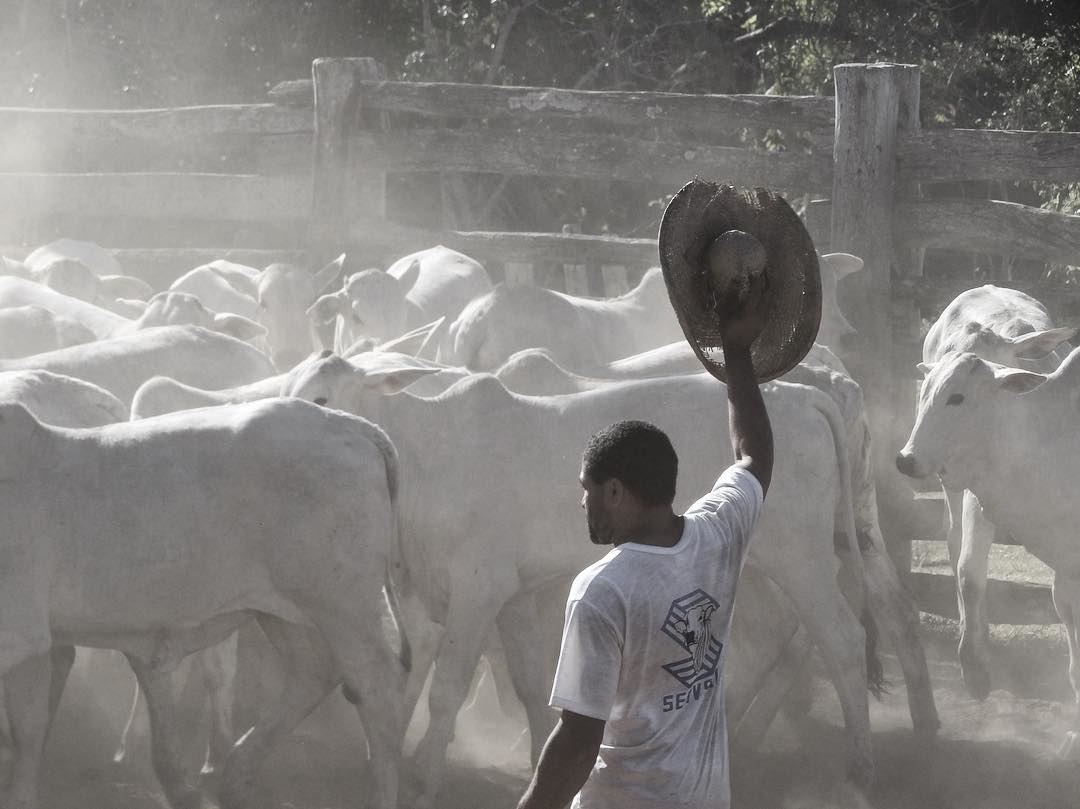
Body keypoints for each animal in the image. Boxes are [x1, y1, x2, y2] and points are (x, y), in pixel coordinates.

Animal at [0, 399, 408, 807]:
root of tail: (349, 424)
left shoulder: (22, 636)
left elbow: (27, 730)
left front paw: (20, 796)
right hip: (284, 610)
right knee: (312, 672)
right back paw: (232, 778)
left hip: (343, 608)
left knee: (376, 687)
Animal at [285, 352, 876, 803]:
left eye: (322, 398)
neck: (427, 455)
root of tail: (802, 396)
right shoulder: (498, 597)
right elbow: (524, 683)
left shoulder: (479, 589)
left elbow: (446, 689)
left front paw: (423, 778)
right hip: (754, 563)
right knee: (776, 639)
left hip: (802, 558)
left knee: (844, 641)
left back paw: (858, 766)